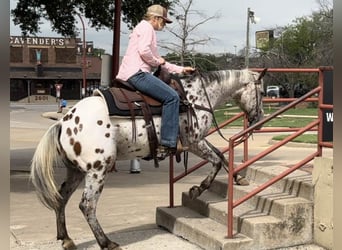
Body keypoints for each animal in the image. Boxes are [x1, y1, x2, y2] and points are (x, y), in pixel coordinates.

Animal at [31, 68, 268, 250]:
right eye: (263, 92)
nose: (260, 119)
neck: (196, 97)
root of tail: (63, 122)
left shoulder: (198, 141)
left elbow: (221, 156)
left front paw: (239, 179)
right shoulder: (193, 142)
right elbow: (217, 160)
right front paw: (197, 190)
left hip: (76, 170)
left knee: (61, 198)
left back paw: (66, 238)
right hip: (97, 170)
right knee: (87, 205)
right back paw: (106, 242)